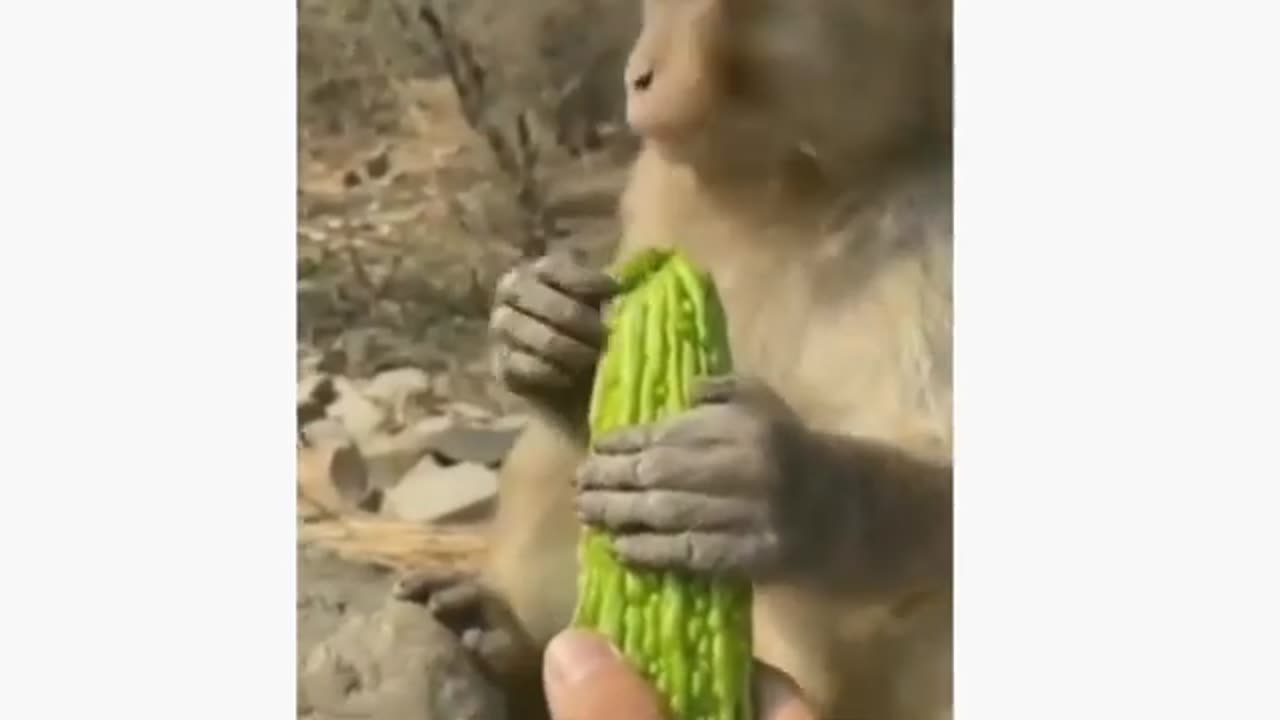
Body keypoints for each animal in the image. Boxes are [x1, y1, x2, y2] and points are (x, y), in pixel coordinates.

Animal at [396, 0, 953, 717]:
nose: (638, 77)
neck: (803, 183)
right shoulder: (661, 188)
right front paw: (550, 338)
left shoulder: (940, 210)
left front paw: (780, 485)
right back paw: (506, 646)